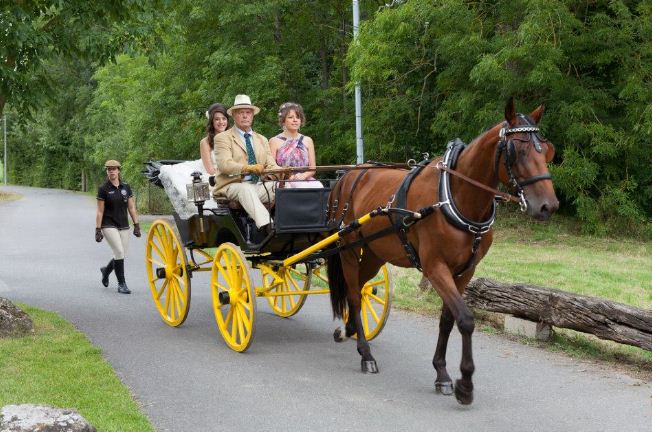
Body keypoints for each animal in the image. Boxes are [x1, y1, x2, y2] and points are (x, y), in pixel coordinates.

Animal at [324, 98, 556, 404]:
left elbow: (448, 319)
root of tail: (348, 174)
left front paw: (442, 373)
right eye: (517, 150)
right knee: (352, 293)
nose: (548, 206)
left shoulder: (465, 270)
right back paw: (365, 354)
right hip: (349, 249)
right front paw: (464, 383)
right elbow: (466, 319)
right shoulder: (435, 267)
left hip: (374, 252)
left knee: (361, 289)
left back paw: (350, 328)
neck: (455, 196)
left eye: (547, 150)